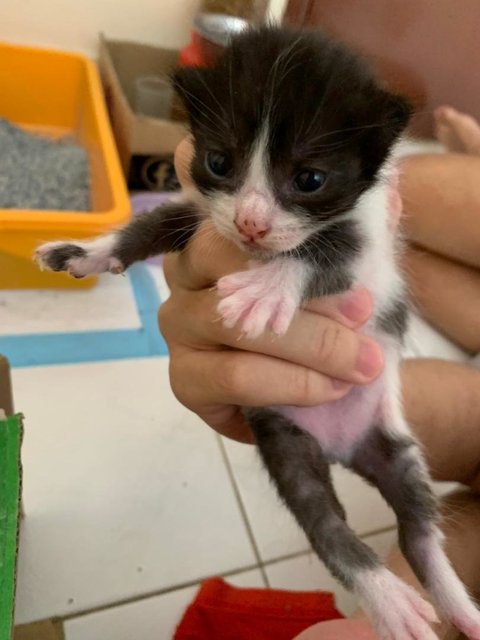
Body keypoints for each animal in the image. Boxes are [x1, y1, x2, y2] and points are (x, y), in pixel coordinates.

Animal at [35, 26, 480, 640]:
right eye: (219, 161)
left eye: (310, 178)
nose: (250, 223)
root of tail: (344, 449)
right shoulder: (203, 210)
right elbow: (151, 224)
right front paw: (86, 252)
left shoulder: (367, 245)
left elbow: (324, 252)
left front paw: (268, 289)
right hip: (289, 444)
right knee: (326, 522)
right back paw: (388, 594)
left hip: (397, 448)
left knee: (417, 530)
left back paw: (452, 604)